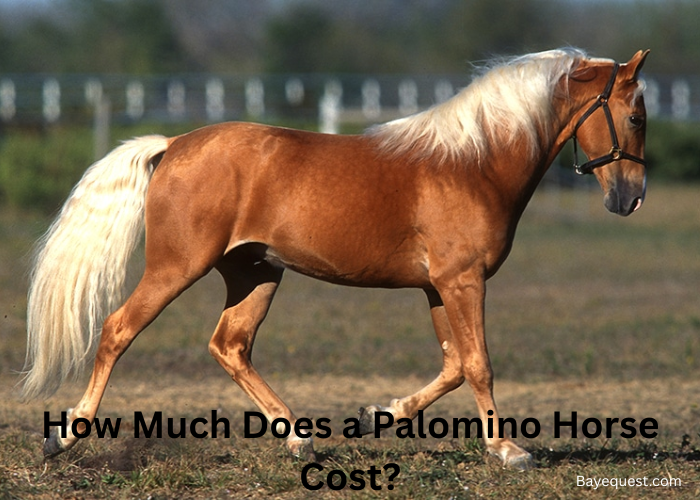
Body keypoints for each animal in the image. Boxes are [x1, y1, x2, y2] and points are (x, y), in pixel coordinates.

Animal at [23, 48, 649, 470]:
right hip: (177, 268)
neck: (473, 164)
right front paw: (507, 449)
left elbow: (452, 364)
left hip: (256, 273)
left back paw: (301, 438)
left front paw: (379, 415)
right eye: (636, 116)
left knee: (230, 345)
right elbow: (478, 363)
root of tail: (172, 145)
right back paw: (65, 435)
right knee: (117, 330)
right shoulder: (462, 281)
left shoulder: (438, 287)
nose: (630, 197)